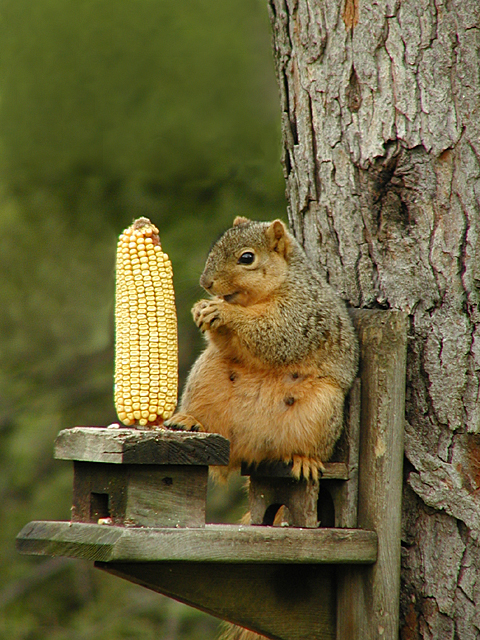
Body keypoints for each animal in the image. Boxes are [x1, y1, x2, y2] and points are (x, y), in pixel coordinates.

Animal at [165, 216, 356, 480]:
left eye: (247, 258)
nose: (206, 283)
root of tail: (251, 449)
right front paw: (200, 309)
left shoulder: (301, 314)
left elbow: (272, 332)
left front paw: (223, 311)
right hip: (205, 378)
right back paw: (190, 421)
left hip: (322, 407)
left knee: (309, 447)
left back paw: (304, 459)